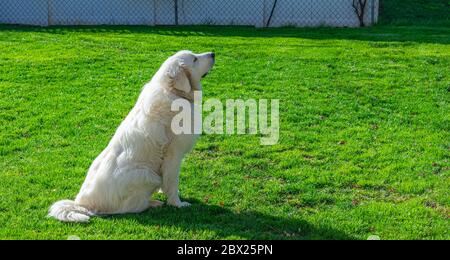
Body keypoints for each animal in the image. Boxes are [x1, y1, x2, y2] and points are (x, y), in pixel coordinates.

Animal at [48, 51, 215, 223]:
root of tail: (82, 204)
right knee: (129, 209)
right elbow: (172, 182)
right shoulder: (173, 154)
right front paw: (177, 204)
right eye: (194, 59)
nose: (213, 53)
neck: (173, 93)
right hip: (148, 175)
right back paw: (153, 203)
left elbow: (168, 181)